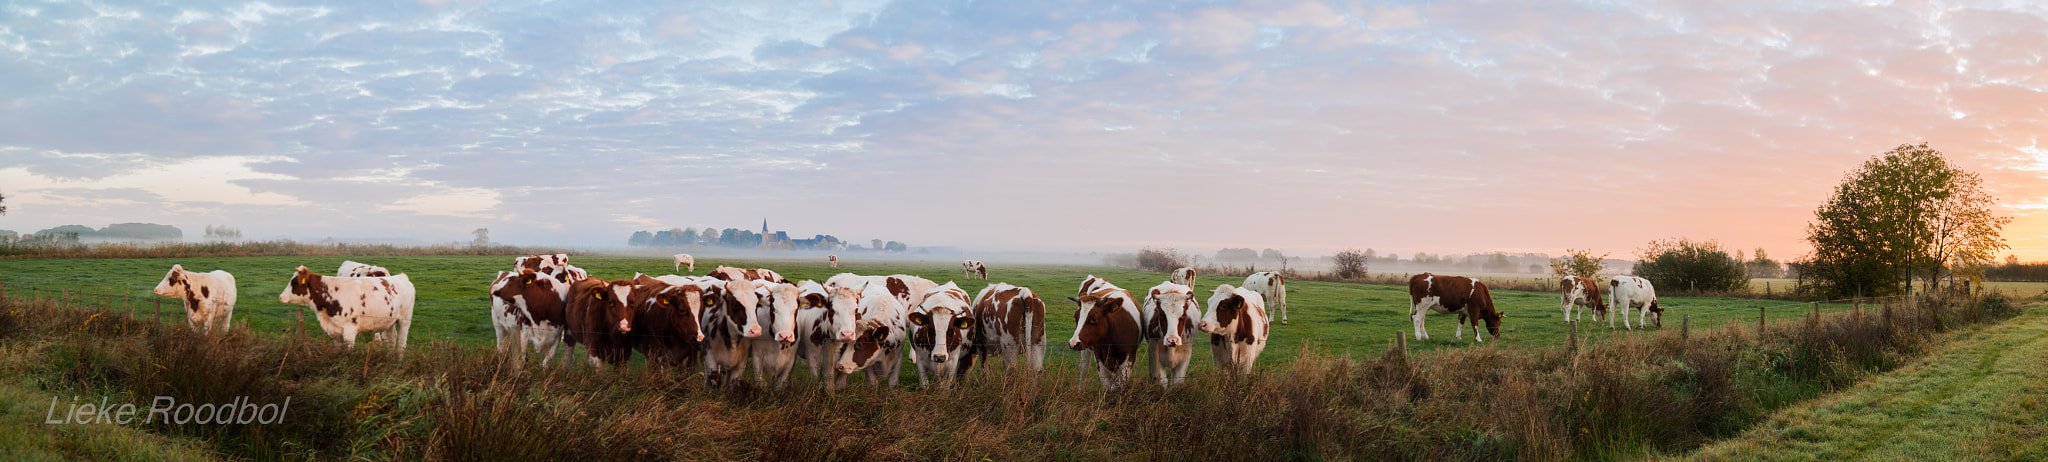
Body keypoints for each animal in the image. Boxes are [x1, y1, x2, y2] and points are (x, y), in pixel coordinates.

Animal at [280, 265, 415, 351]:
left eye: (294, 282)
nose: (281, 297)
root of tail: (401, 276)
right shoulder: (335, 332)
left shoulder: (349, 331)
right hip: (389, 322)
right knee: (391, 340)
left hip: (404, 321)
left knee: (401, 343)